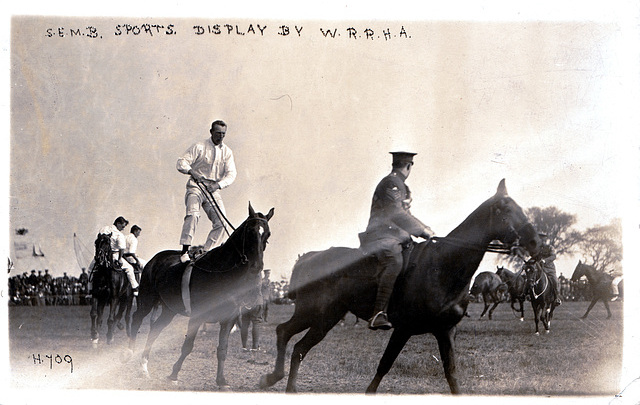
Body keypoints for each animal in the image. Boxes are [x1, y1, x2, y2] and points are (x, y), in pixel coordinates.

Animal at [127, 204, 272, 386]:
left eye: (267, 234)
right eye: (250, 231)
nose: (257, 266)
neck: (220, 270)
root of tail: (154, 260)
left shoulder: (229, 318)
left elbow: (222, 349)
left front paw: (221, 379)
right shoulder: (197, 315)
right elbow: (188, 346)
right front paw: (174, 374)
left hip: (169, 310)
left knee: (155, 329)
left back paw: (144, 365)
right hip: (147, 300)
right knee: (136, 318)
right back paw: (129, 353)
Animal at [260, 179, 540, 392]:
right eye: (505, 209)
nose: (537, 242)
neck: (442, 265)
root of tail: (308, 257)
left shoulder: (445, 331)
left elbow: (451, 374)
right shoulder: (403, 329)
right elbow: (383, 366)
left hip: (326, 317)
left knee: (296, 345)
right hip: (314, 312)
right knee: (285, 333)